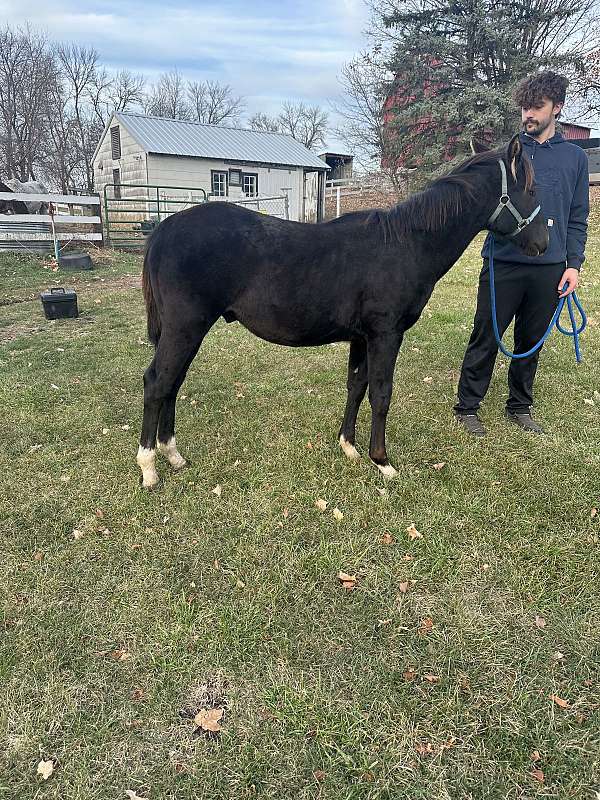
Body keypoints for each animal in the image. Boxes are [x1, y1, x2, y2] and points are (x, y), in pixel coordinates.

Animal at [137, 135, 548, 488]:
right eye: (530, 190)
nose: (543, 244)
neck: (406, 244)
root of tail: (164, 229)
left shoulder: (361, 337)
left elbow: (356, 386)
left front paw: (349, 446)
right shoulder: (386, 335)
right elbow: (381, 393)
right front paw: (382, 461)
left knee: (173, 383)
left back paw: (173, 455)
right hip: (185, 328)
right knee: (158, 382)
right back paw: (149, 468)